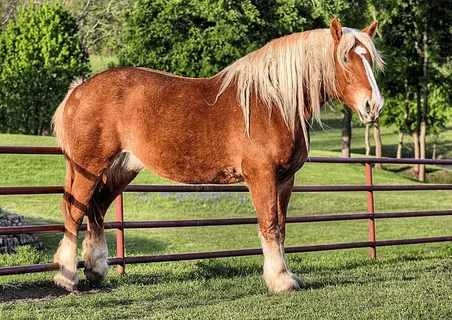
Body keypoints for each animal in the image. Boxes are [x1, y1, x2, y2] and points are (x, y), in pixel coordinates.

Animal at [53, 18, 384, 292]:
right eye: (345, 58)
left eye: (371, 60)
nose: (374, 105)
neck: (273, 104)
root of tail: (78, 90)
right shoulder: (261, 176)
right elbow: (269, 225)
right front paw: (280, 280)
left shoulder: (285, 179)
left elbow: (281, 228)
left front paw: (288, 275)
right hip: (87, 166)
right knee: (74, 212)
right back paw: (67, 277)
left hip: (121, 169)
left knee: (96, 209)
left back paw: (95, 270)